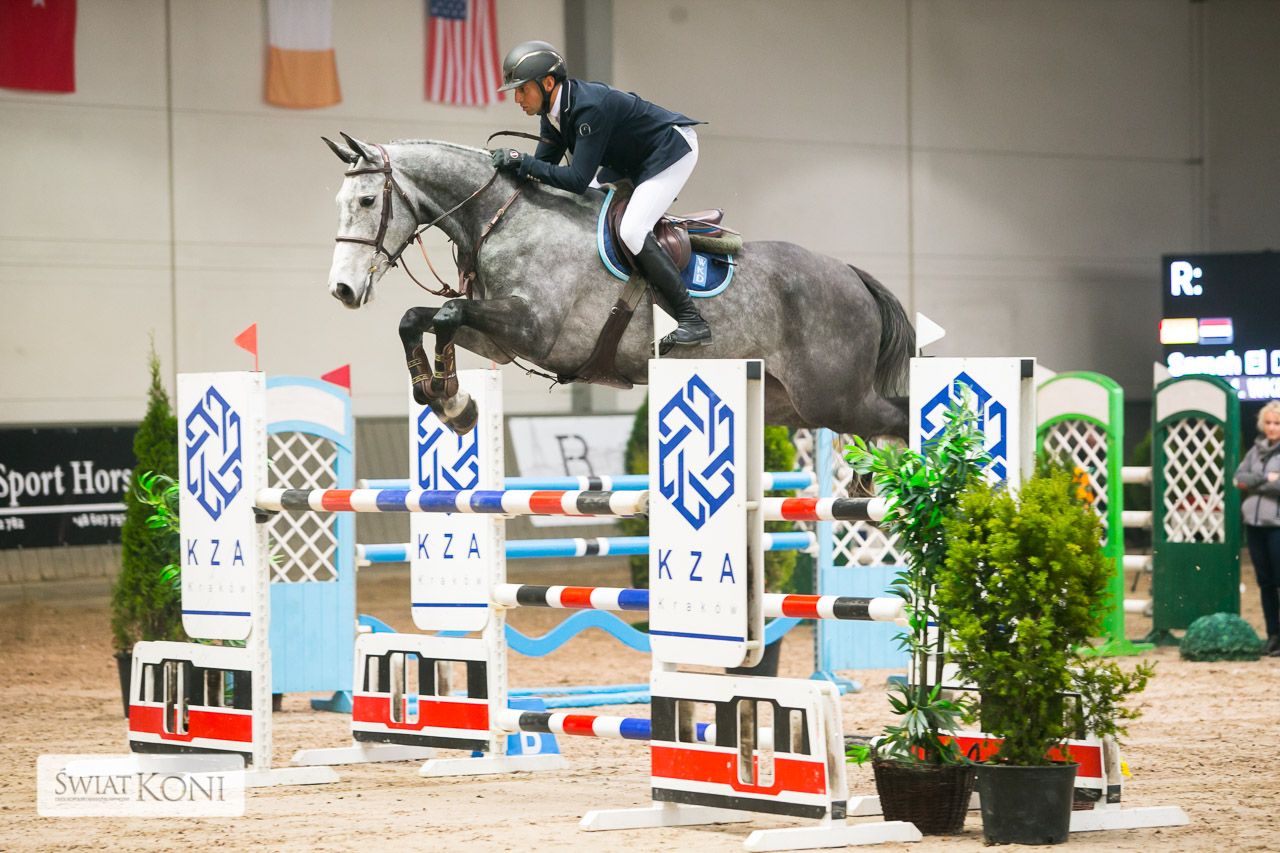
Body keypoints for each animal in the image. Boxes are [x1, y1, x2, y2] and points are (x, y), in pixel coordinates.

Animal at [323, 133, 915, 439]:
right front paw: (449, 400)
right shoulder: (498, 337)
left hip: (832, 398)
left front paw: (448, 397)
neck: (503, 218)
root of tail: (852, 275)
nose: (342, 291)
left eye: (368, 201)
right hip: (788, 403)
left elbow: (446, 315)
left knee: (901, 418)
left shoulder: (535, 330)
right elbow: (420, 320)